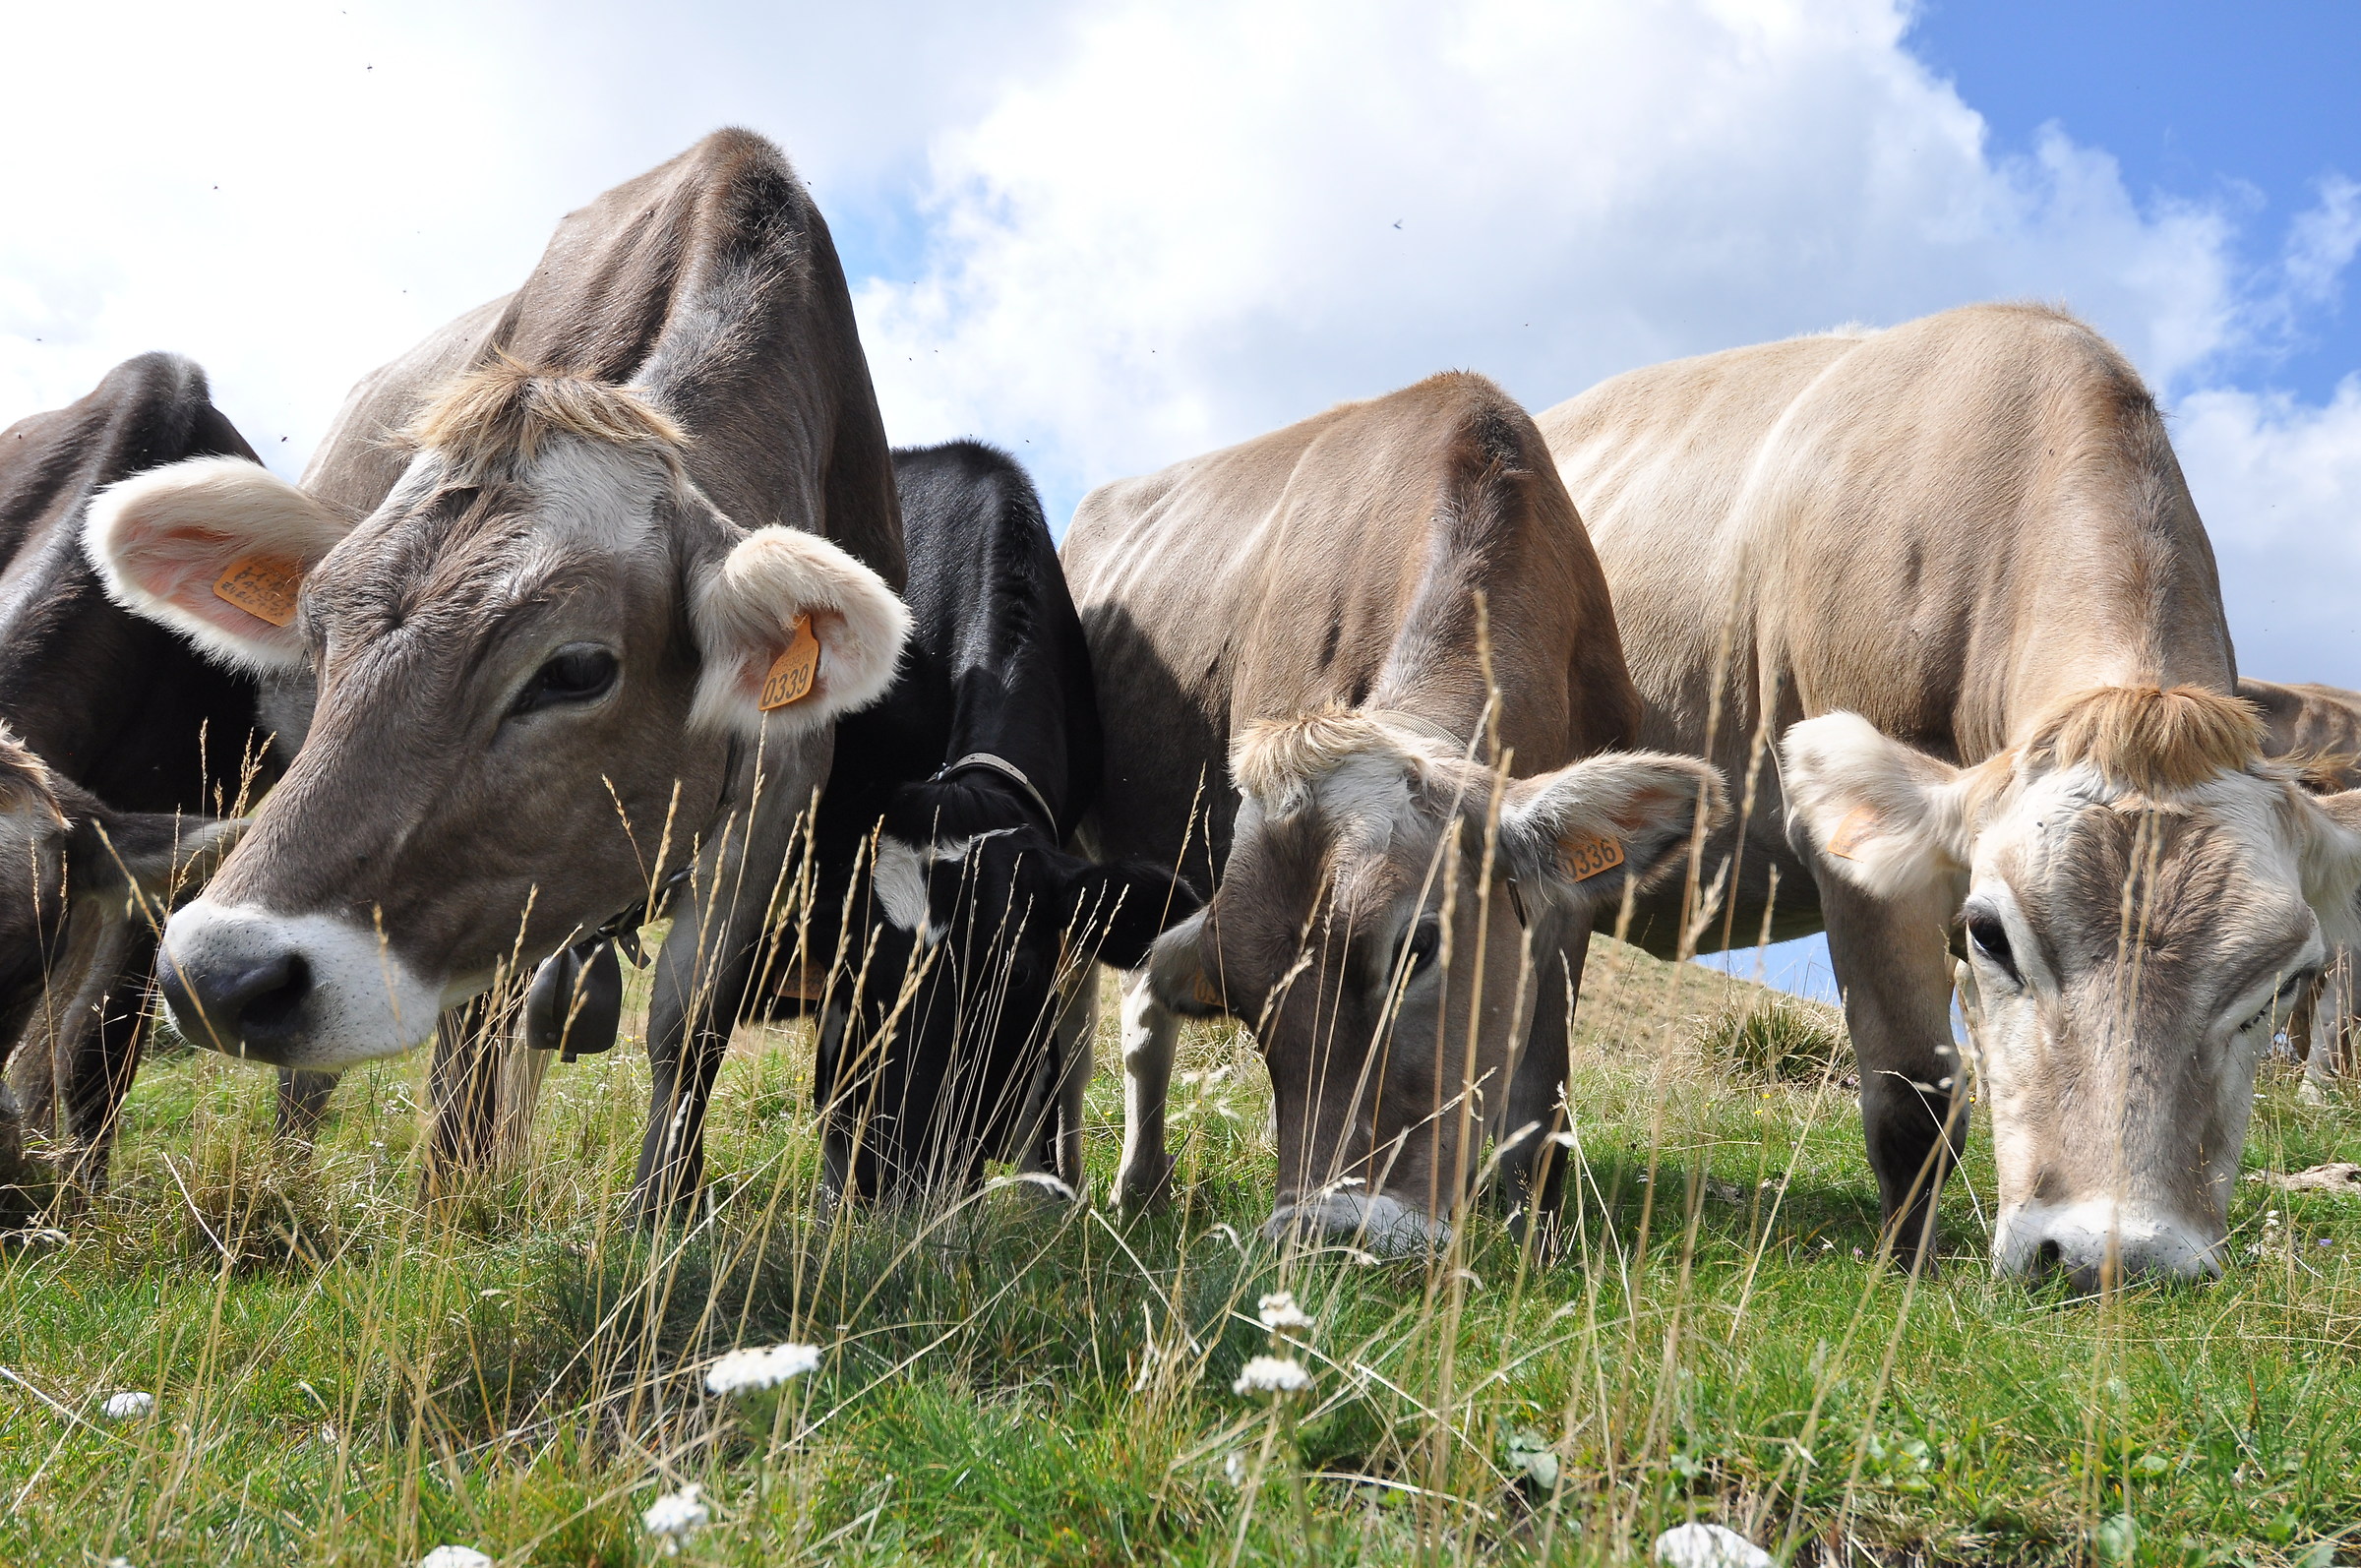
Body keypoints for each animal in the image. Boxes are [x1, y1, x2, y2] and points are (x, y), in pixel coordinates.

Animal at [85, 129, 914, 1221]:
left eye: (576, 669)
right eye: (316, 632)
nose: (220, 976)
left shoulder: (782, 783)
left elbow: (686, 1021)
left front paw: (660, 1210)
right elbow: (468, 1044)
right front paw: (456, 1204)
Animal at [1061, 372, 1728, 1255]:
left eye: (1420, 945)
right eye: (1242, 996)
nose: (1330, 1232)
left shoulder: (1566, 909)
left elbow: (1540, 1095)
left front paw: (1535, 1239)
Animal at [1537, 302, 2361, 1289]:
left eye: (2287, 978)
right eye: (1992, 933)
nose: (2110, 1259)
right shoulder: (1856, 864)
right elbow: (1914, 1093)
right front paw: (1909, 1271)